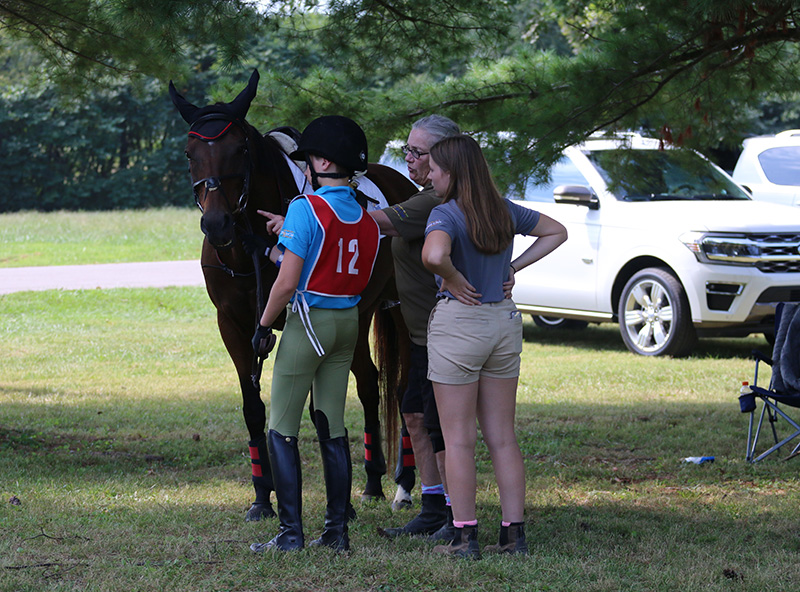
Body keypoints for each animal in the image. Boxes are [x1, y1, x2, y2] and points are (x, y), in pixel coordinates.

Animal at [170, 71, 418, 520]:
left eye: (240, 150)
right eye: (189, 153)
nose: (217, 224)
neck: (249, 248)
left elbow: (315, 410)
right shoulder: (234, 325)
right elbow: (254, 408)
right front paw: (261, 498)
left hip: (402, 314)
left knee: (403, 388)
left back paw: (403, 484)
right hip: (359, 316)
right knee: (369, 383)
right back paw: (372, 481)